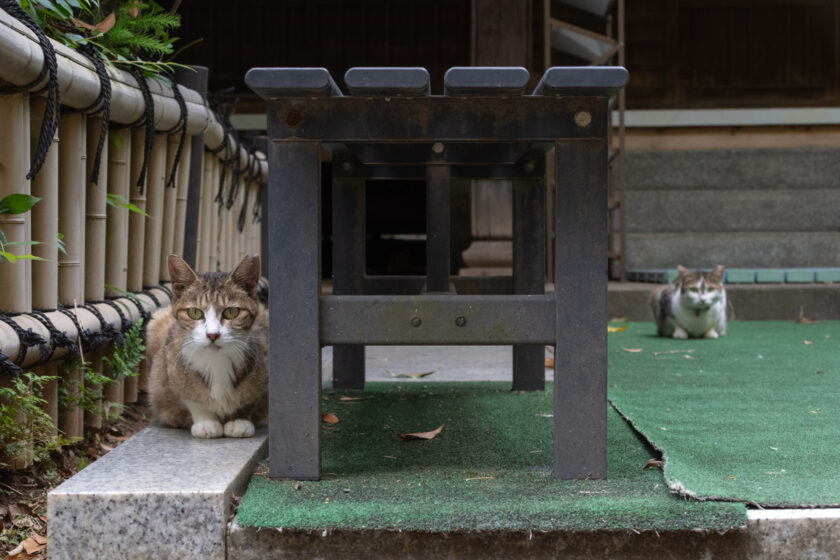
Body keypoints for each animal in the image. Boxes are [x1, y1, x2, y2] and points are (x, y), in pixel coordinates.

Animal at [146, 254, 268, 438]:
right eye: (195, 312)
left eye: (231, 312)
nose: (212, 335)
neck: (216, 361)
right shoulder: (171, 365)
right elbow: (190, 395)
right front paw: (206, 422)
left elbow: (252, 396)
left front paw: (239, 419)